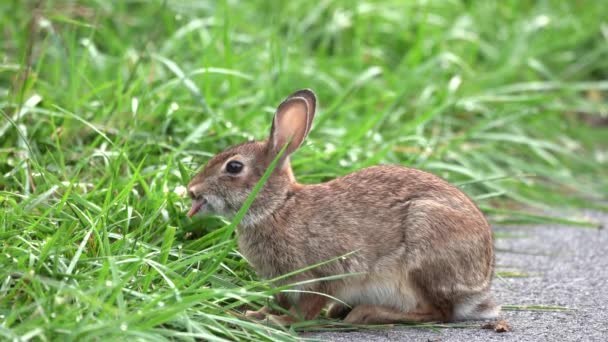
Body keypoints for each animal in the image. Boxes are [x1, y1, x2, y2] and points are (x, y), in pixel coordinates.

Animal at [185, 89, 498, 324]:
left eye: (234, 167)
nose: (191, 190)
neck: (277, 207)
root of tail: (480, 285)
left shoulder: (324, 271)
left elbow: (310, 305)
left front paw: (283, 322)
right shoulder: (281, 282)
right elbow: (281, 300)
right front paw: (257, 314)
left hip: (424, 246)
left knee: (437, 312)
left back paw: (366, 314)